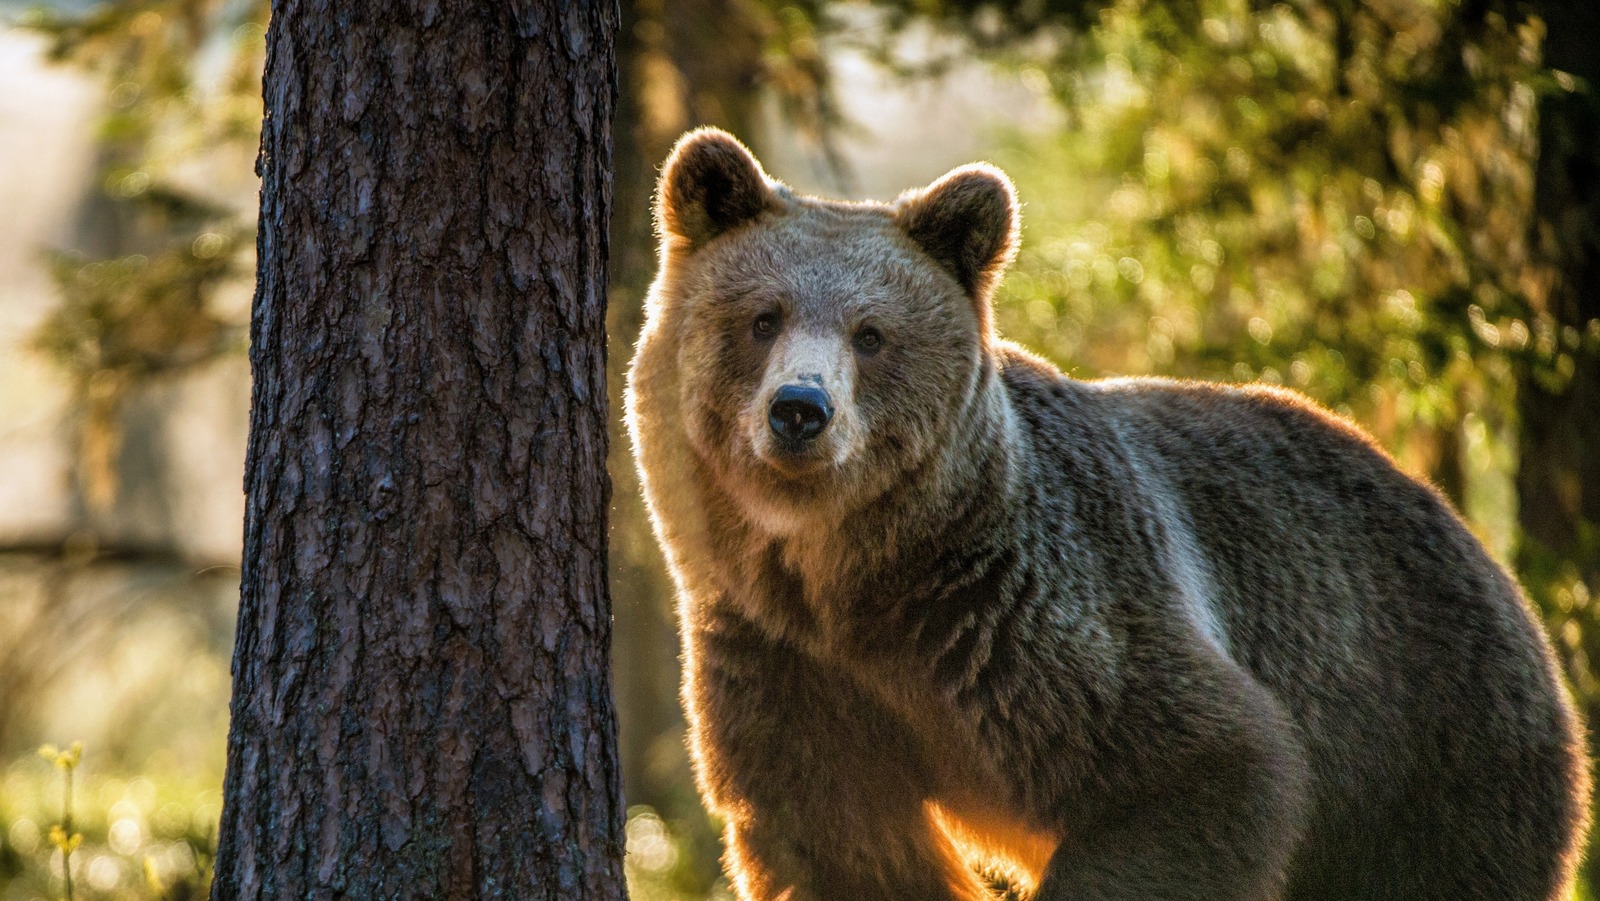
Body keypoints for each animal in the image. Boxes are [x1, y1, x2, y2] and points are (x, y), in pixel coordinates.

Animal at [624, 127, 1592, 901]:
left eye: (872, 334)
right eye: (763, 315)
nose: (800, 409)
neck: (856, 580)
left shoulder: (1031, 617)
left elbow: (1199, 765)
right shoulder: (785, 661)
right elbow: (837, 839)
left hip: (1426, 740)